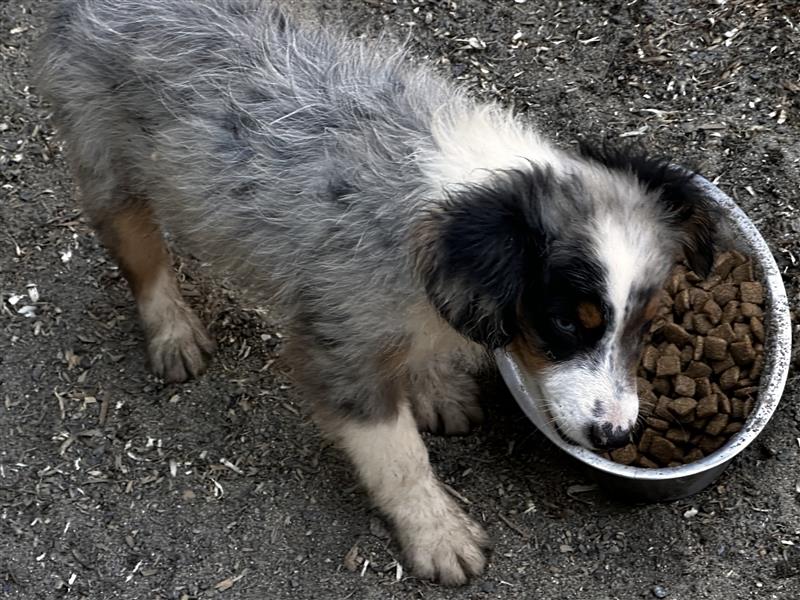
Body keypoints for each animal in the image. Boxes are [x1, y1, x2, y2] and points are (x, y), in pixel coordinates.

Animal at [34, 0, 716, 584]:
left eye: (645, 326)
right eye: (568, 322)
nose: (616, 437)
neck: (449, 201)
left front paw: (437, 389)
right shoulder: (341, 354)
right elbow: (400, 457)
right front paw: (439, 537)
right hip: (106, 164)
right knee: (142, 258)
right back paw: (173, 332)